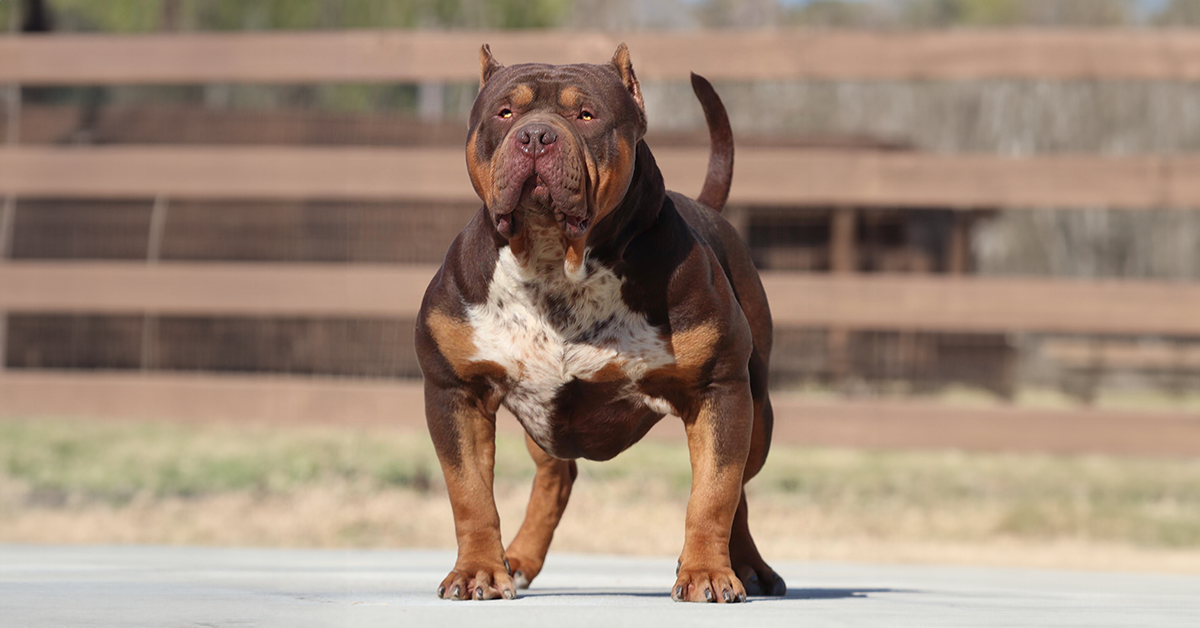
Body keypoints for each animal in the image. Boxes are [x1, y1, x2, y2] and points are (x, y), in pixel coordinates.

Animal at [417, 44, 782, 605]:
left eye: (585, 115)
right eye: (505, 113)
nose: (536, 135)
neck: (555, 261)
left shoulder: (719, 389)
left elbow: (714, 492)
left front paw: (704, 572)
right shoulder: (455, 391)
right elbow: (470, 493)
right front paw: (479, 570)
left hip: (757, 414)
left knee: (739, 486)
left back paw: (747, 567)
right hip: (544, 424)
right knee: (555, 476)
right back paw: (517, 558)